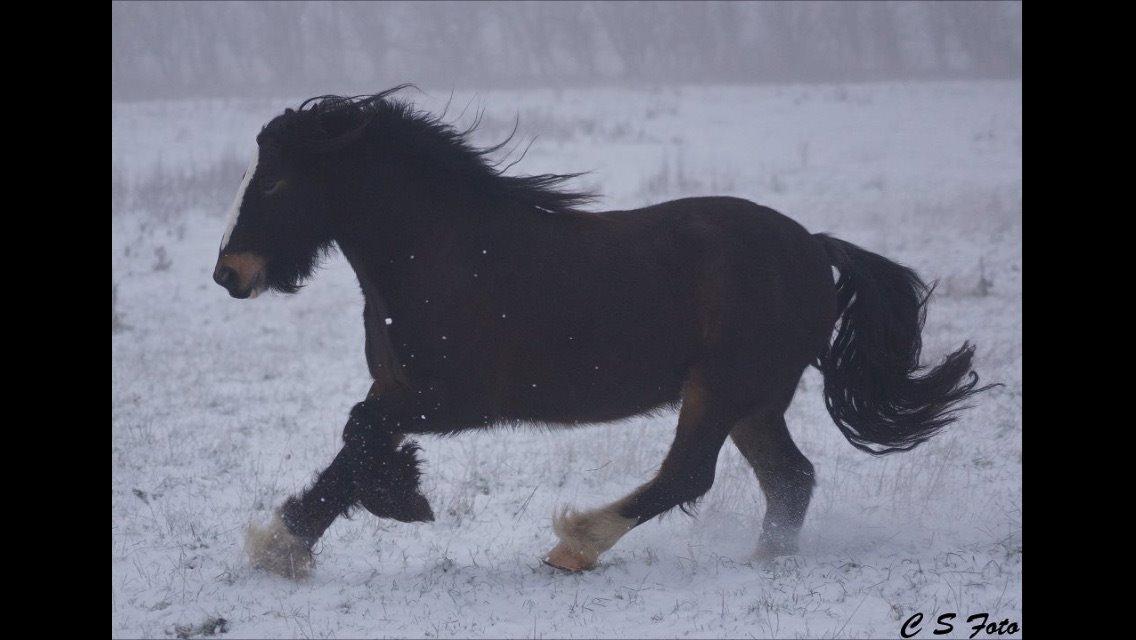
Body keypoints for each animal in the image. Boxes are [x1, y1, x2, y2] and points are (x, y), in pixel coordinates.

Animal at [214, 87, 995, 577]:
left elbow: (362, 432)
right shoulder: (401, 385)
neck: (441, 251)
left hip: (722, 388)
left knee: (692, 472)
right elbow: (355, 443)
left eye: (278, 182)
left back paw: (577, 545)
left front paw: (381, 505)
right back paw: (765, 561)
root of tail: (815, 248)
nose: (229, 273)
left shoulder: (458, 401)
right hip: (755, 401)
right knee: (791, 479)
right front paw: (297, 540)